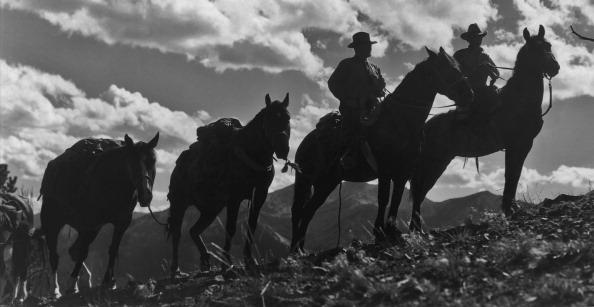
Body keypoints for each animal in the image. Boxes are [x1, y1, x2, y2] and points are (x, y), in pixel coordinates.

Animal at [39, 134, 160, 298]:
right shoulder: (90, 222)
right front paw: (70, 284)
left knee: (73, 250)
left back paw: (80, 284)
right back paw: (55, 290)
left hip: (86, 228)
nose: (146, 196)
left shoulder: (122, 222)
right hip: (53, 222)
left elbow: (112, 249)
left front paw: (109, 282)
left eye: (153, 161)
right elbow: (83, 252)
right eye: (132, 162)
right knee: (55, 255)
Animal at [165, 94, 290, 276]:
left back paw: (205, 260)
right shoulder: (234, 199)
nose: (283, 149)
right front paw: (227, 263)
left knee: (193, 231)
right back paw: (176, 269)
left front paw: (249, 261)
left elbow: (251, 227)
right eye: (269, 119)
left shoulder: (259, 196)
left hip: (210, 210)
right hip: (179, 204)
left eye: (288, 119)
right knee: (177, 233)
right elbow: (230, 229)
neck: (252, 153)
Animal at [290, 47, 474, 251]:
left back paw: (300, 248)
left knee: (308, 211)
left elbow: (397, 198)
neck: (400, 121)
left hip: (325, 183)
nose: (470, 94)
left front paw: (392, 230)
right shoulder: (385, 170)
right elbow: (384, 198)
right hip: (310, 181)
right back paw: (296, 249)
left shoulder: (403, 172)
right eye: (448, 69)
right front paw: (379, 232)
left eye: (458, 67)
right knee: (300, 212)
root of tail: (306, 141)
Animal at [410, 25, 556, 230]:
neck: (518, 101)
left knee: (420, 191)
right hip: (433, 161)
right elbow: (512, 175)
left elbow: (514, 175)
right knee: (419, 190)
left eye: (548, 45)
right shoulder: (518, 144)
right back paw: (416, 229)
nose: (555, 67)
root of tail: (426, 127)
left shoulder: (521, 145)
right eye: (535, 49)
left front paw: (511, 208)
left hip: (440, 160)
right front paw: (509, 209)